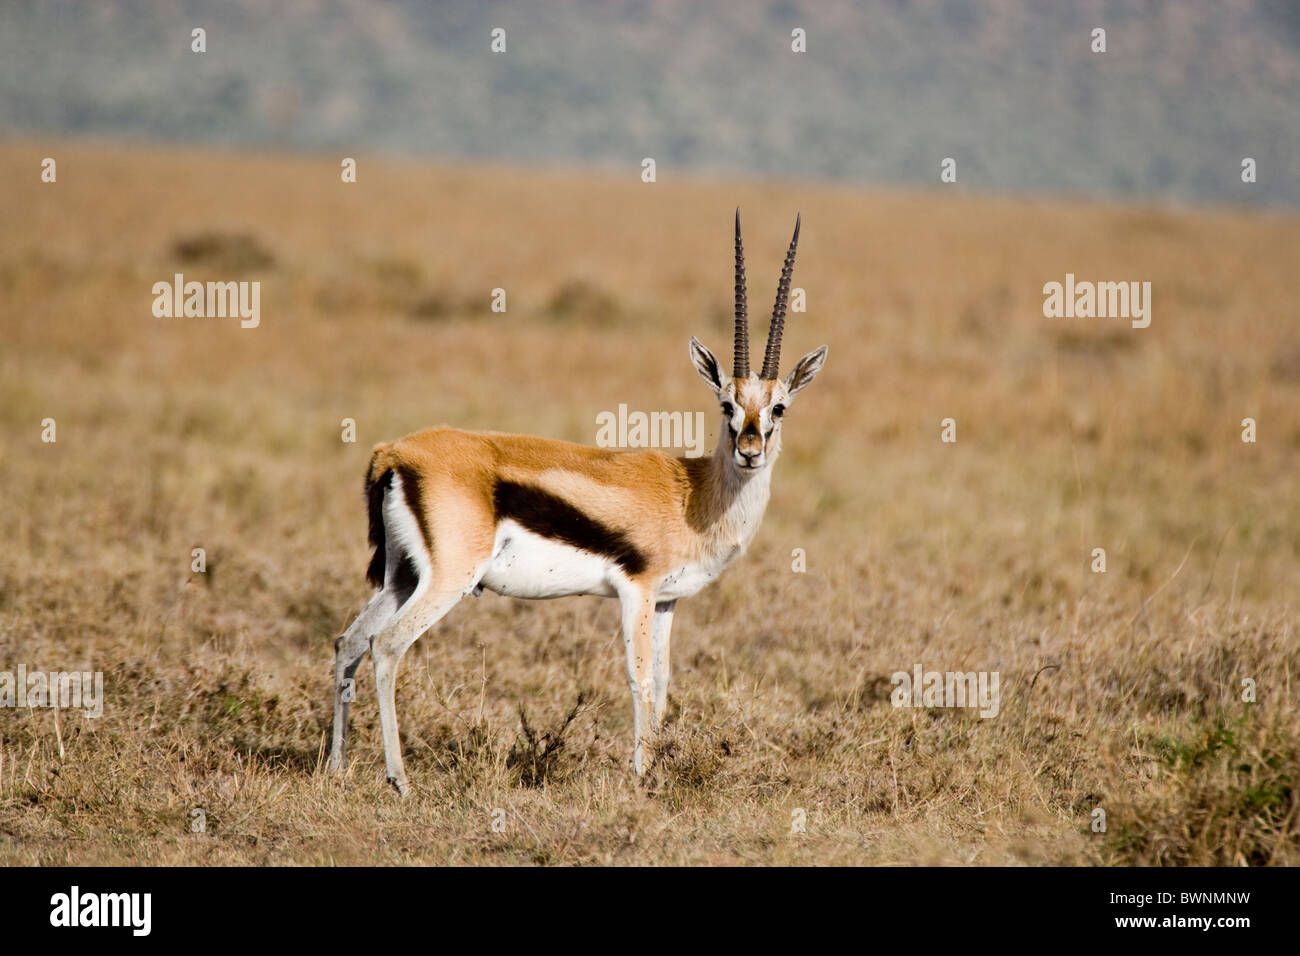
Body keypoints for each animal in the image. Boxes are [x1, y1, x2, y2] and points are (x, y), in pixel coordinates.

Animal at [328, 211, 827, 793]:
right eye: (727, 403)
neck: (692, 494)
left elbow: (663, 682)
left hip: (403, 578)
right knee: (385, 647)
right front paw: (640, 776)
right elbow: (640, 681)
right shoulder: (636, 591)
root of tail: (394, 452)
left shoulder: (666, 601)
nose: (750, 450)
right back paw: (399, 780)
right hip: (447, 580)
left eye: (779, 408)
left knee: (348, 642)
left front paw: (659, 767)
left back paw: (334, 769)